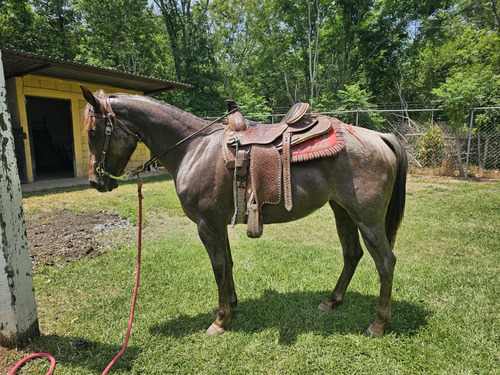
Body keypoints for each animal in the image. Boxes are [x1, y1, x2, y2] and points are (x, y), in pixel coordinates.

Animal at [79, 86, 406, 340]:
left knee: (385, 262)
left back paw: (378, 324)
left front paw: (220, 319)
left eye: (93, 132)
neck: (193, 149)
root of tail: (380, 136)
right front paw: (232, 306)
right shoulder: (217, 223)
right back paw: (332, 301)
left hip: (367, 219)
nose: (96, 181)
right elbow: (228, 264)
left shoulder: (206, 224)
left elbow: (219, 267)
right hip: (343, 212)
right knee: (352, 254)